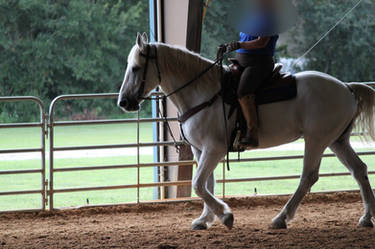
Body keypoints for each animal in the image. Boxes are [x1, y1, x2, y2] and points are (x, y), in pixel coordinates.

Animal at [119, 33, 375, 230]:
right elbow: (207, 184)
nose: (124, 102)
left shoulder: (214, 149)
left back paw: (281, 218)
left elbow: (198, 184)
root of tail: (347, 88)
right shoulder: (201, 150)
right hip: (337, 141)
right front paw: (205, 219)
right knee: (359, 170)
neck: (203, 92)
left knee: (308, 177)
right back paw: (366, 217)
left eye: (136, 68)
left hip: (316, 140)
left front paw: (225, 216)